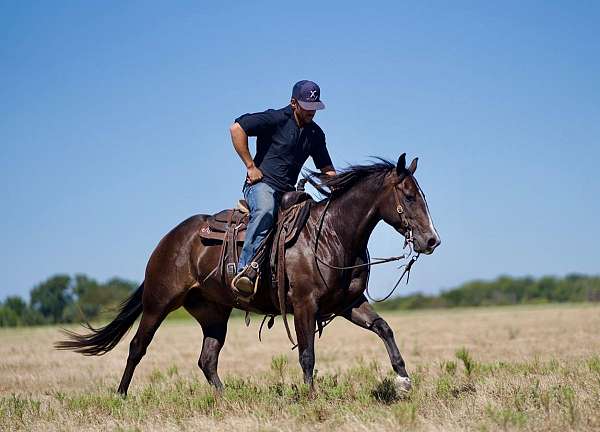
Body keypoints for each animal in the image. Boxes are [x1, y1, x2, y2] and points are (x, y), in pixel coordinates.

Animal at [56, 154, 440, 396]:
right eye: (408, 195)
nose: (431, 240)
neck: (332, 234)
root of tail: (170, 239)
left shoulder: (348, 303)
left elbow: (384, 329)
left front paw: (404, 380)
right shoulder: (304, 306)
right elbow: (307, 355)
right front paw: (312, 399)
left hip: (213, 313)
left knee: (207, 359)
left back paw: (224, 399)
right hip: (158, 302)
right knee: (137, 346)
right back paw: (120, 395)